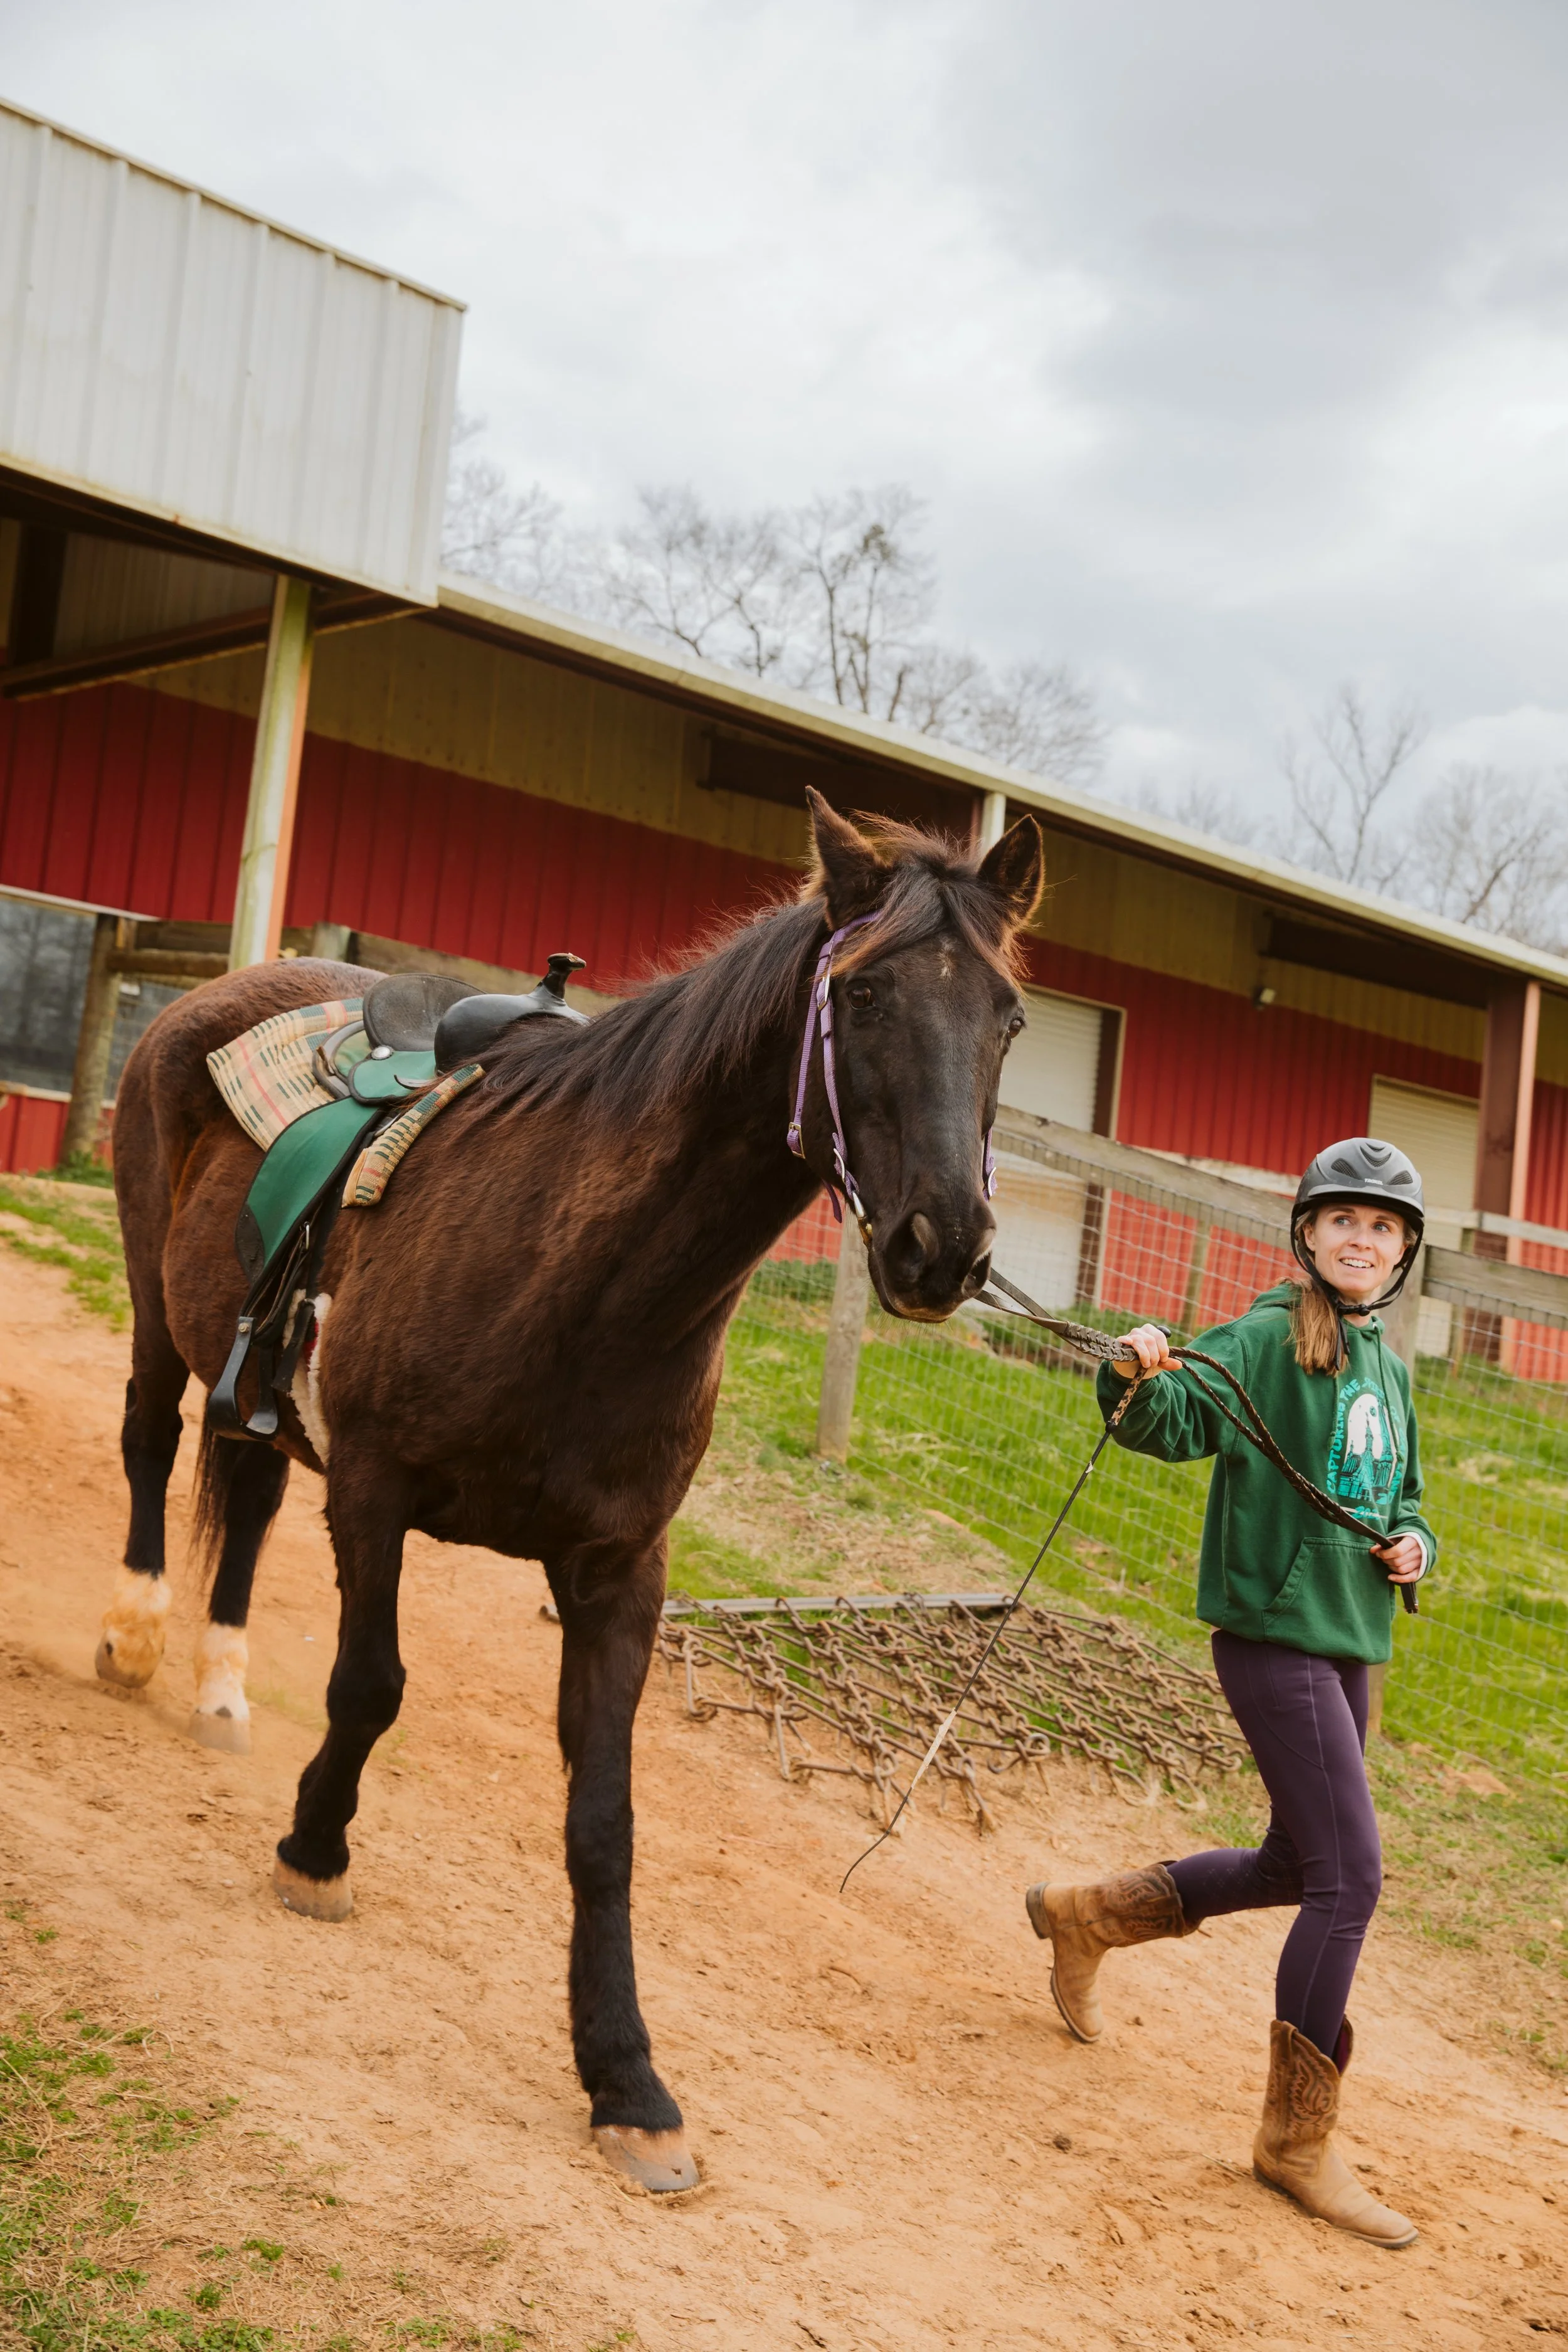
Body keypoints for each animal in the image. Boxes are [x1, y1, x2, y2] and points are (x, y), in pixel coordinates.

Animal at [92, 789, 1045, 2193]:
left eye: (1009, 1017)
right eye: (864, 995)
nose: (946, 1248)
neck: (583, 1276)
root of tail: (217, 994)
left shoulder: (619, 1571)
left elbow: (604, 1819)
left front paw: (627, 2079)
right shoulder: (372, 1490)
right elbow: (369, 1689)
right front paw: (314, 1852)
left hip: (253, 1386)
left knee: (249, 1498)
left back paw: (219, 1688)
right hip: (163, 1314)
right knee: (151, 1447)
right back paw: (137, 1631)